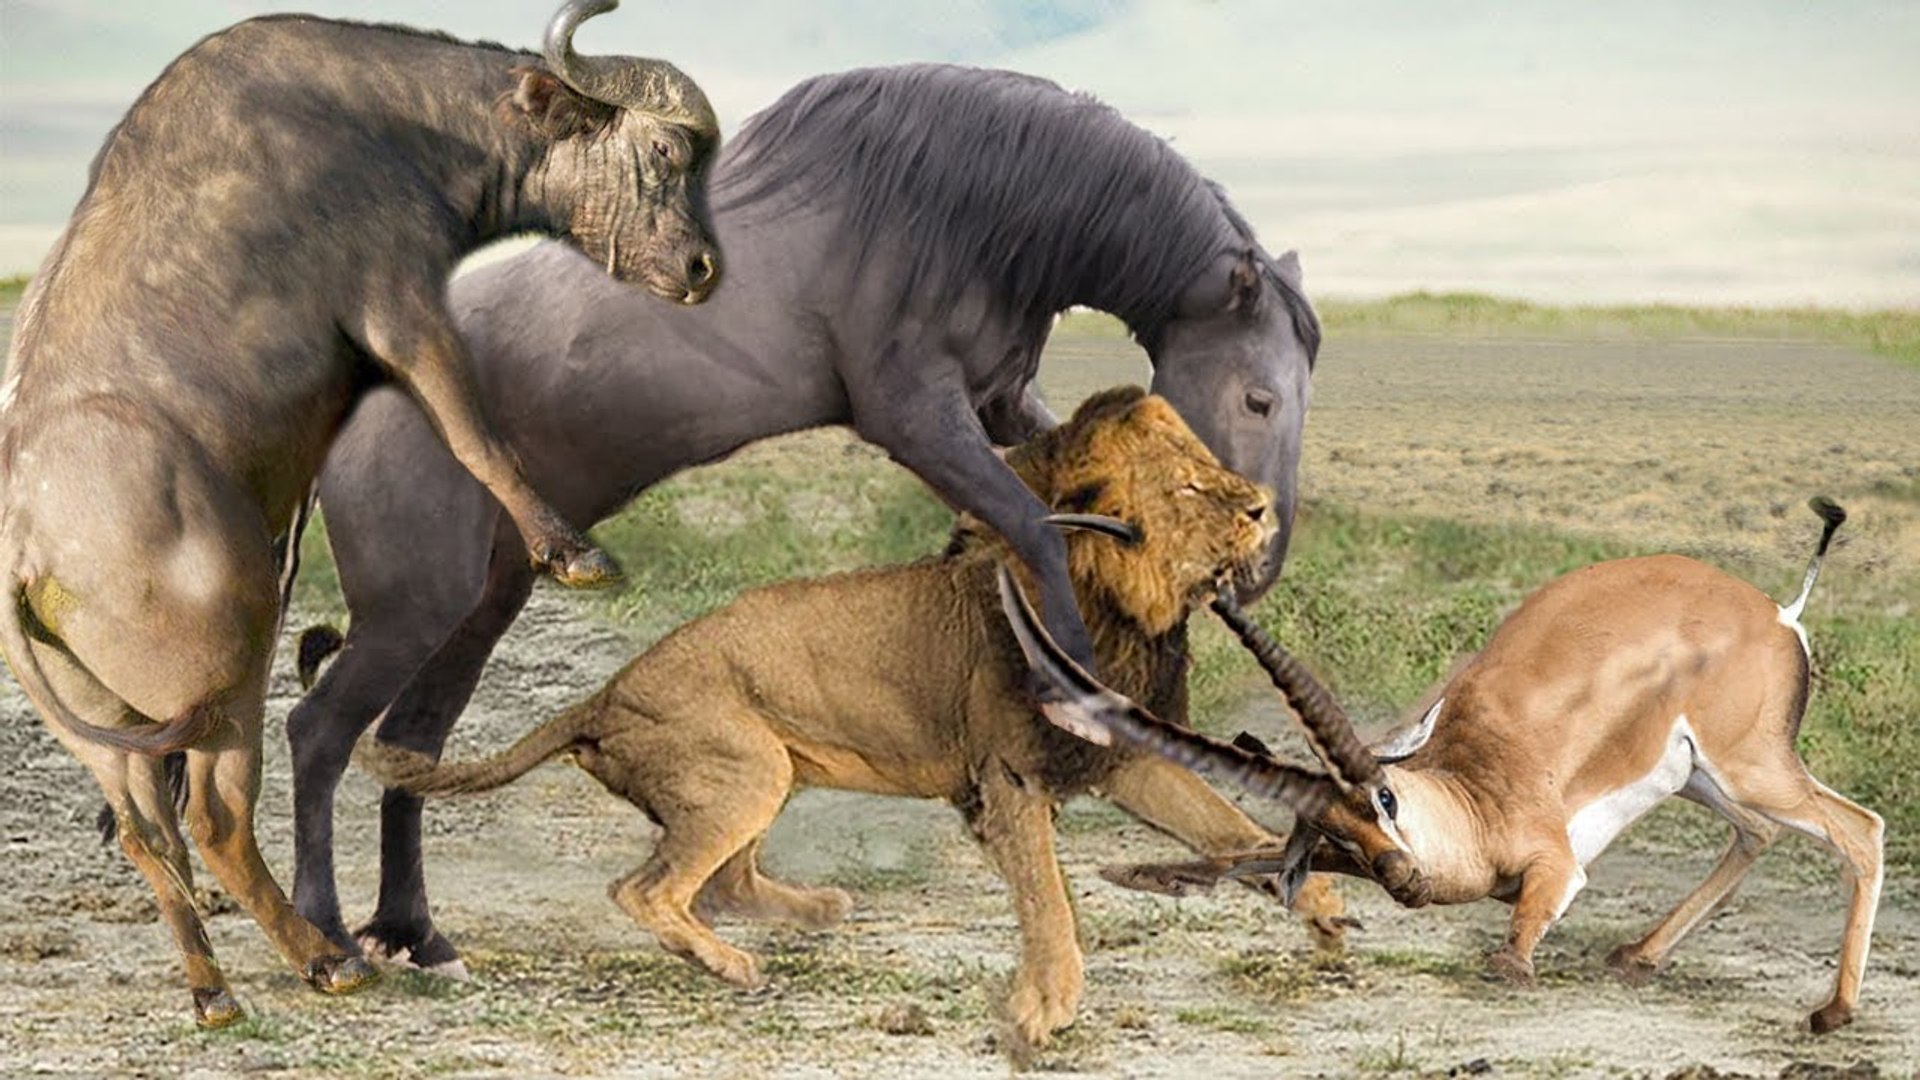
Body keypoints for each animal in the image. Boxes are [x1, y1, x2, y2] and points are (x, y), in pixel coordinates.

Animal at [357, 386, 1345, 1048]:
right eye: (1189, 489)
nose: (1262, 507)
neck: (1121, 609)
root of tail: (599, 695)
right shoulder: (1009, 778)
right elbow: (1047, 898)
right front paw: (1044, 1007)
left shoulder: (1126, 758)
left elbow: (1224, 823)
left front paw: (1319, 899)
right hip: (745, 770)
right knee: (649, 889)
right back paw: (730, 963)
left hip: (769, 770)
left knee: (722, 882)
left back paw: (815, 908)